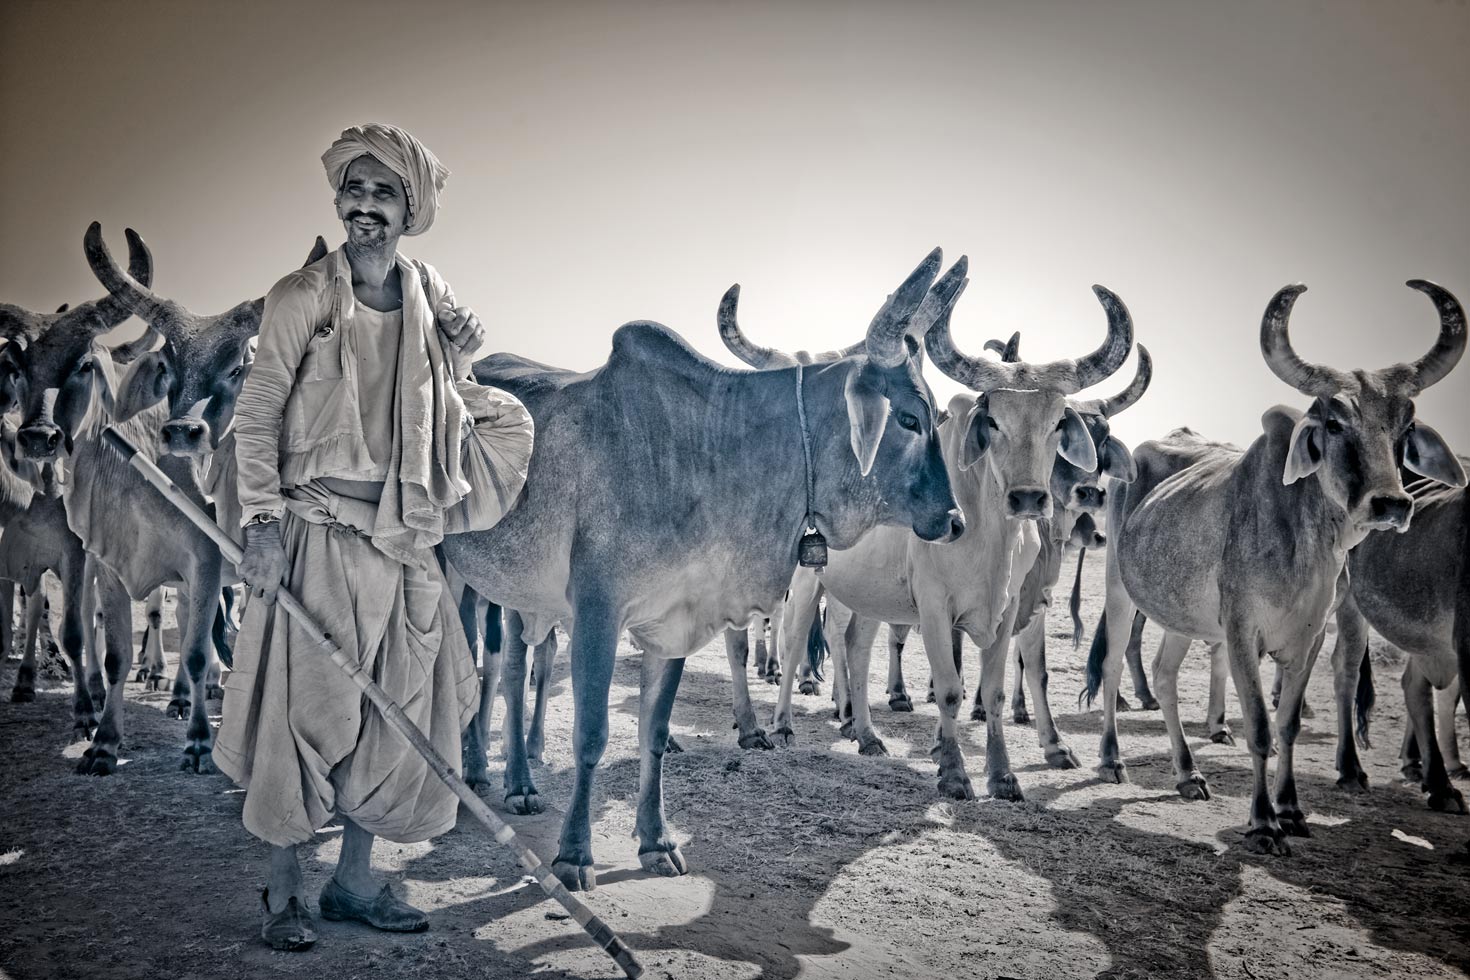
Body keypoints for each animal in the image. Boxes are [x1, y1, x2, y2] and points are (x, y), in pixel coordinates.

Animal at [446, 251, 976, 887]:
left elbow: (653, 733)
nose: (955, 520)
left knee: (512, 662)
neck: (707, 448)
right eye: (909, 419)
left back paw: (515, 778)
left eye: (936, 415)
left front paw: (655, 841)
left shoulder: (673, 622)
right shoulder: (598, 613)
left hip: (518, 592)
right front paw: (574, 855)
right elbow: (591, 734)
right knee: (481, 665)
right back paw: (480, 775)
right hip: (455, 574)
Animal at [1087, 279, 1464, 852]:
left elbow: (1287, 724)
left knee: (1166, 674)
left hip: (1180, 615)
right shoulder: (1242, 633)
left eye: (1407, 423)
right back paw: (1111, 759)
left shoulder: (1307, 638)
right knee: (1111, 665)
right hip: (1118, 591)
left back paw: (1188, 773)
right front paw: (1263, 822)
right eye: (1333, 422)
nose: (1391, 504)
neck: (1304, 547)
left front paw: (1290, 809)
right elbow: (1260, 727)